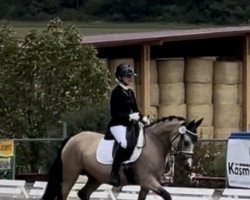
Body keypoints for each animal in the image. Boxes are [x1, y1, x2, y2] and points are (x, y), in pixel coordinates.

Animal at [42, 115, 202, 200]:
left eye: (195, 141)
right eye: (186, 141)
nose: (189, 165)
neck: (155, 143)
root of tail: (72, 138)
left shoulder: (146, 185)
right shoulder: (148, 180)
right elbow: (167, 195)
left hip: (95, 177)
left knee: (83, 193)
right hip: (70, 174)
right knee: (63, 194)